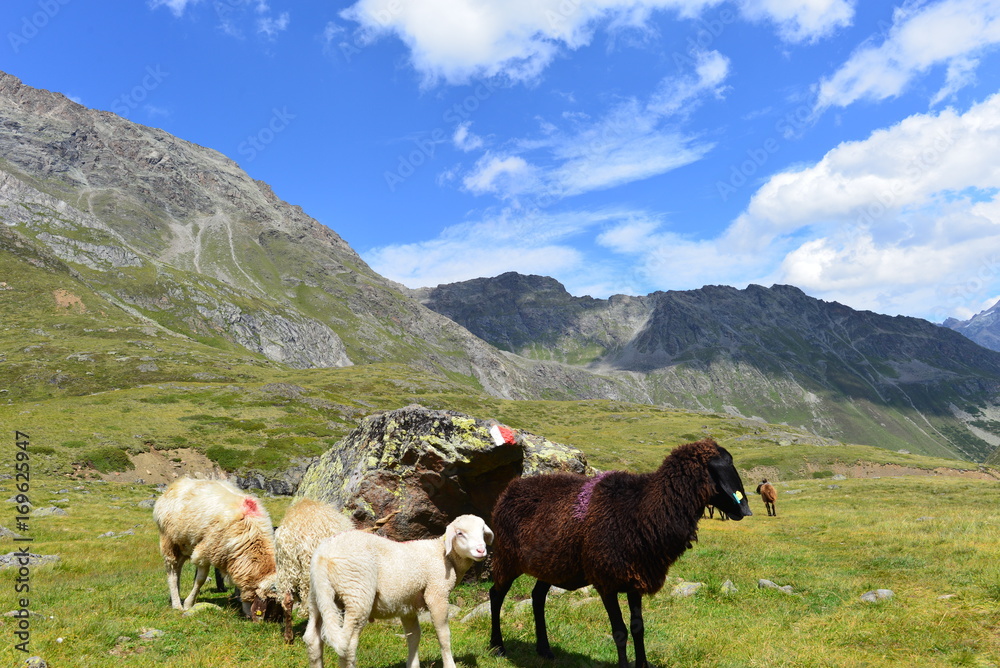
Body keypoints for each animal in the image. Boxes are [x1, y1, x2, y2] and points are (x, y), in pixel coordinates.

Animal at [153, 477, 279, 621]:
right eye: (269, 601)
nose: (262, 622)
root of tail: (174, 485)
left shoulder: (233, 557)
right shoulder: (206, 550)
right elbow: (200, 579)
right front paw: (188, 604)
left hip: (183, 545)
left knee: (177, 570)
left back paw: (174, 597)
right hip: (169, 541)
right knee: (172, 572)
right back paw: (176, 604)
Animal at [303, 514, 493, 668]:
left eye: (482, 531)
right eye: (460, 533)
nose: (481, 550)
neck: (443, 554)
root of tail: (324, 555)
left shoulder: (407, 604)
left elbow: (414, 635)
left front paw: (413, 664)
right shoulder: (437, 592)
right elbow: (443, 634)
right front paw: (450, 664)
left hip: (317, 596)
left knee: (313, 639)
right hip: (357, 592)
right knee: (347, 644)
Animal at [488, 438, 751, 668]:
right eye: (725, 468)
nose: (744, 511)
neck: (641, 508)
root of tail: (510, 489)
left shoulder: (635, 579)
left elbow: (638, 628)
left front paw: (643, 664)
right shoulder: (606, 582)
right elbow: (620, 631)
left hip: (551, 564)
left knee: (537, 596)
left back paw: (544, 649)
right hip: (506, 557)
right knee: (496, 595)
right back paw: (497, 647)